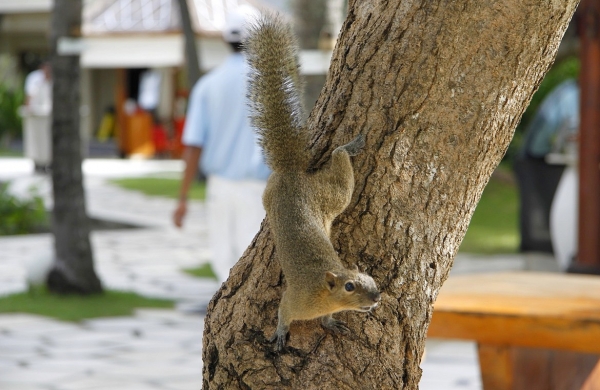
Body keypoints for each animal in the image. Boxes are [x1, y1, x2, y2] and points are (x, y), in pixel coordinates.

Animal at [245, 15, 380, 352]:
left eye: (372, 279)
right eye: (349, 286)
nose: (377, 297)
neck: (323, 294)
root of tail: (292, 173)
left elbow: (327, 319)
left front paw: (330, 323)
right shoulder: (293, 299)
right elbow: (282, 314)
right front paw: (281, 333)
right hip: (333, 195)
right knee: (338, 158)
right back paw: (349, 146)